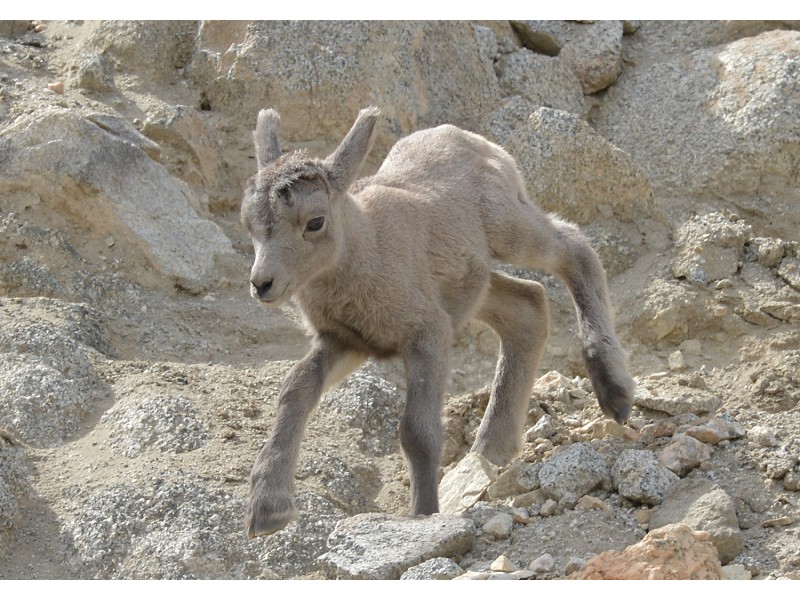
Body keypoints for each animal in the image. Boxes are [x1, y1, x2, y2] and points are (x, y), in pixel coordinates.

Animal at [241, 105, 636, 536]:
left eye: (314, 222)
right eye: (250, 223)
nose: (263, 284)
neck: (369, 247)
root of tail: (471, 140)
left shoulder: (426, 334)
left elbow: (417, 432)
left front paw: (423, 514)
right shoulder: (345, 341)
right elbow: (296, 389)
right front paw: (268, 510)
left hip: (509, 230)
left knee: (573, 247)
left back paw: (614, 392)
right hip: (474, 285)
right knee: (527, 306)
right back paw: (491, 449)